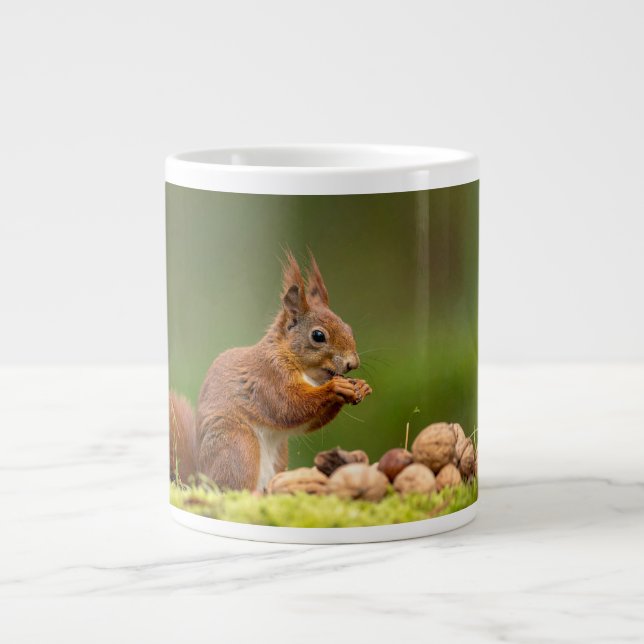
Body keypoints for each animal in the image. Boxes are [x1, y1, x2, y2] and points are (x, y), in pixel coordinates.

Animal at [170, 251, 372, 492]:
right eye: (318, 336)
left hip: (278, 454)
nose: (353, 363)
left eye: (348, 328)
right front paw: (336, 387)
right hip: (238, 445)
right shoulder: (267, 376)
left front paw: (361, 386)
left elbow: (306, 421)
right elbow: (288, 405)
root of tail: (200, 479)